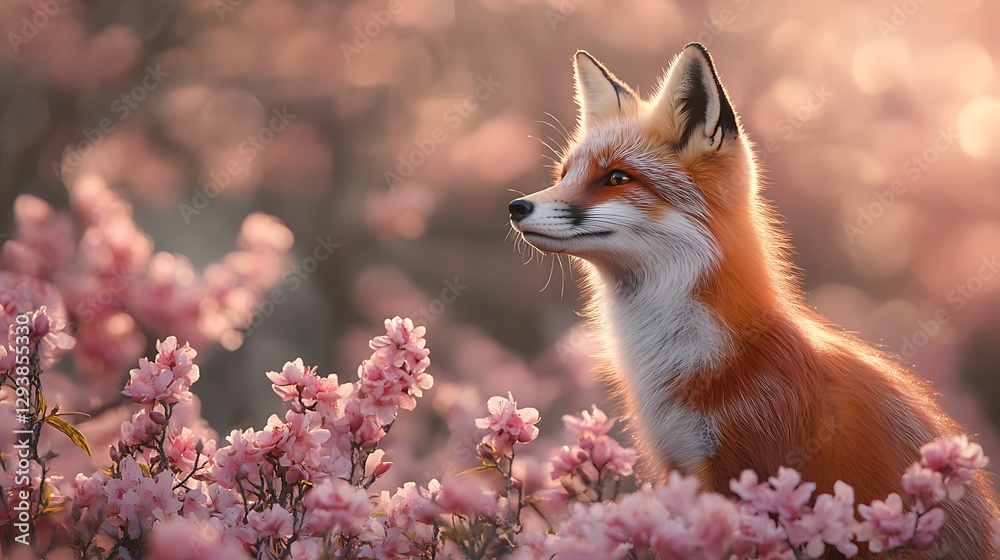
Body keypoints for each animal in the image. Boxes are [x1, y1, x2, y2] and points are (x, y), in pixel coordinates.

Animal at [508, 43, 999, 558]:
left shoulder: (748, 468)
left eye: (617, 177)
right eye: (565, 174)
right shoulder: (680, 465)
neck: (696, 360)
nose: (517, 207)